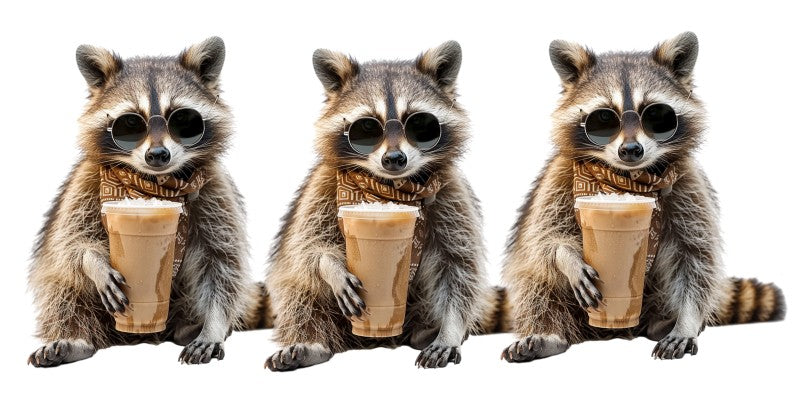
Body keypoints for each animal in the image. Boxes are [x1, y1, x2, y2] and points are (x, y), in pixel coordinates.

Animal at [27, 37, 262, 367]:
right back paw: (75, 338)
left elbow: (222, 263)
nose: (158, 155)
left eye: (183, 120)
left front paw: (213, 325)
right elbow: (71, 243)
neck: (152, 184)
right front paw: (93, 262)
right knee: (61, 286)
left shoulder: (215, 190)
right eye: (129, 124)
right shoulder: (86, 183)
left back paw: (189, 328)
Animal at [264, 41, 507, 371]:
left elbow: (458, 267)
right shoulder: (323, 187)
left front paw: (450, 329)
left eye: (420, 123)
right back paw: (311, 342)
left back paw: (426, 331)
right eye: (366, 128)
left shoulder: (451, 194)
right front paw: (330, 266)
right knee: (298, 292)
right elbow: (308, 247)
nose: (394, 159)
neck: (388, 188)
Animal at [501, 32, 785, 362]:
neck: (626, 178)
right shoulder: (559, 178)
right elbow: (544, 238)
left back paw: (663, 322)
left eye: (657, 115)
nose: (631, 150)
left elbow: (695, 256)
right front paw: (567, 257)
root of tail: (612, 332)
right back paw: (548, 333)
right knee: (534, 281)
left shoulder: (688, 184)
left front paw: (686, 321)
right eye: (603, 119)